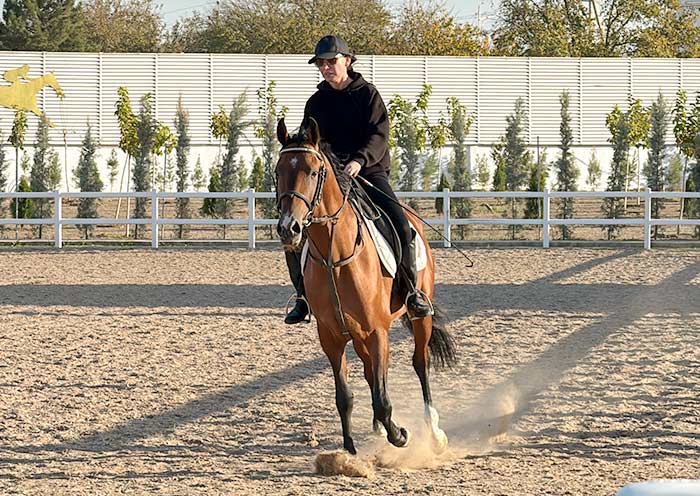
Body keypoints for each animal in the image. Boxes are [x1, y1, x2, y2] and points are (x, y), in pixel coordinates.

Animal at [275, 117, 457, 455]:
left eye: (313, 171)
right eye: (279, 170)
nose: (288, 228)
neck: (335, 256)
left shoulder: (377, 332)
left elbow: (383, 400)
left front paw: (400, 434)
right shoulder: (331, 337)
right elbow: (345, 397)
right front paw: (349, 450)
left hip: (418, 318)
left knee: (420, 364)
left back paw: (433, 431)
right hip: (356, 335)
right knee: (370, 372)